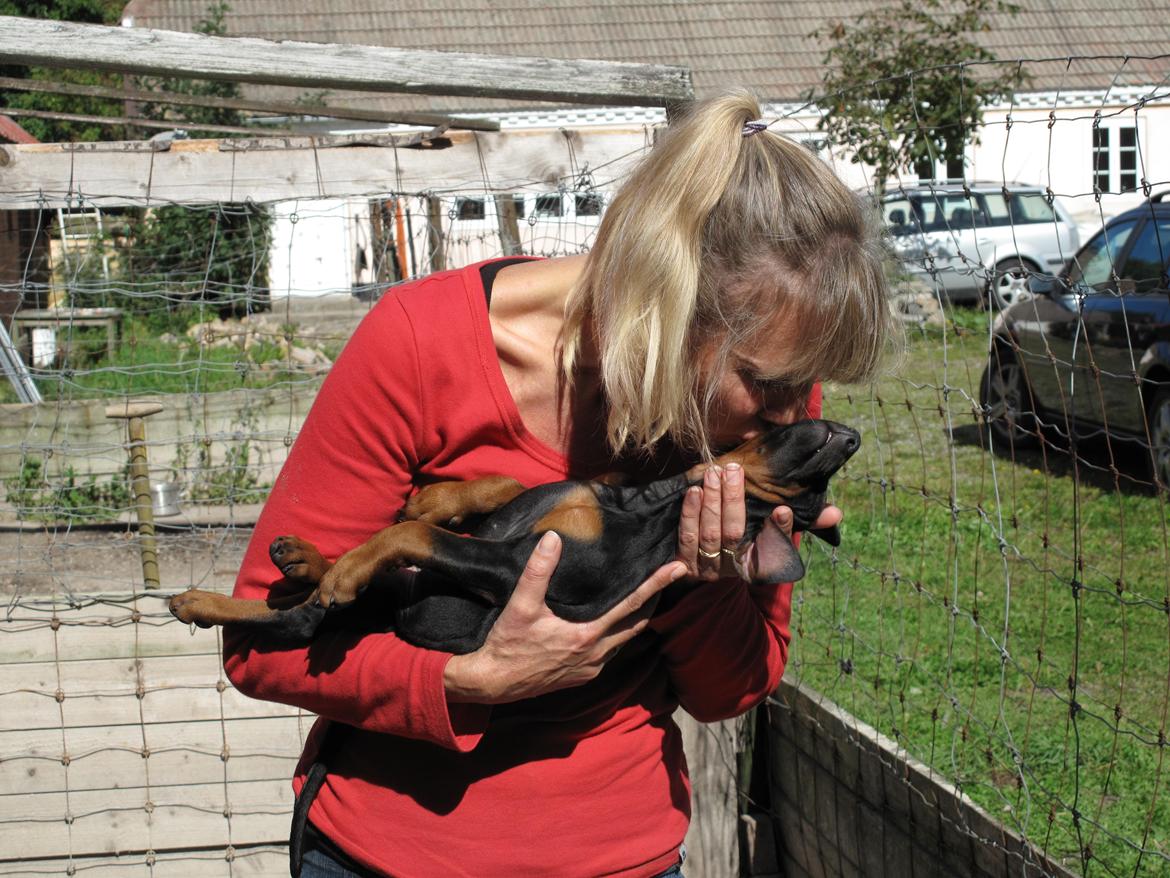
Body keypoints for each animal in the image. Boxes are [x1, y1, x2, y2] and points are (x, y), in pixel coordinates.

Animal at [169, 419, 861, 655]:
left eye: (815, 481)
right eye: (822, 449)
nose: (851, 436)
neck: (650, 506)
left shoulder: (517, 565)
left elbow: (419, 534)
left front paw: (411, 522)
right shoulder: (587, 484)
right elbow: (506, 480)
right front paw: (443, 496)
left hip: (370, 605)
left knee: (302, 611)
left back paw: (316, 574)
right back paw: (293, 564)